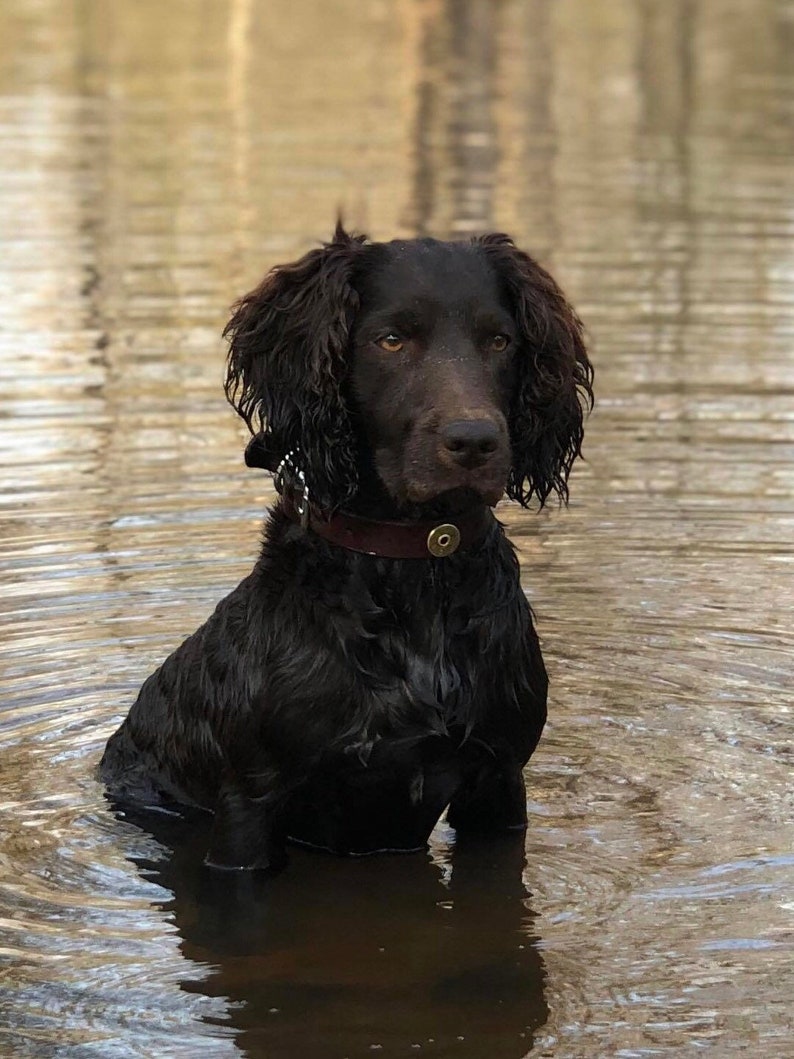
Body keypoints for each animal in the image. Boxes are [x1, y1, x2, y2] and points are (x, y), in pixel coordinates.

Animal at [99, 223, 592, 868]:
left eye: (500, 340)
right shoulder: (248, 803)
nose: (475, 441)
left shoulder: (499, 781)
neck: (413, 566)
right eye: (391, 340)